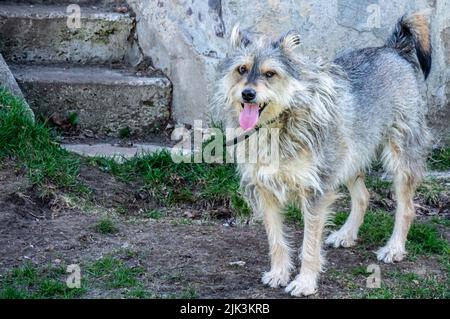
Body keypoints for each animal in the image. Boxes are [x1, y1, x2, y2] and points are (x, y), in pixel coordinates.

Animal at [214, 12, 432, 298]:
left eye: (270, 73)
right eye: (241, 69)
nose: (247, 93)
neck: (279, 124)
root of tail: (393, 48)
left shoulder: (314, 193)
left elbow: (309, 246)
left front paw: (305, 282)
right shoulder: (265, 190)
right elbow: (276, 240)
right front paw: (279, 273)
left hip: (400, 157)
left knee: (406, 209)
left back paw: (394, 248)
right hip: (347, 158)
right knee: (363, 196)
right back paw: (346, 234)